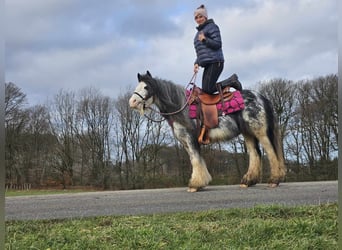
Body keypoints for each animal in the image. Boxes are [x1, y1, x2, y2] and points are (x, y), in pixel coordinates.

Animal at [129, 71, 286, 192]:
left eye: (146, 86)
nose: (132, 102)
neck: (181, 106)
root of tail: (261, 97)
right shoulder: (185, 142)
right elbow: (195, 160)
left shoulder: (190, 139)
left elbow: (195, 159)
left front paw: (195, 185)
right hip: (248, 133)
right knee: (255, 153)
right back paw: (248, 181)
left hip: (260, 131)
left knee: (271, 152)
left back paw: (274, 180)